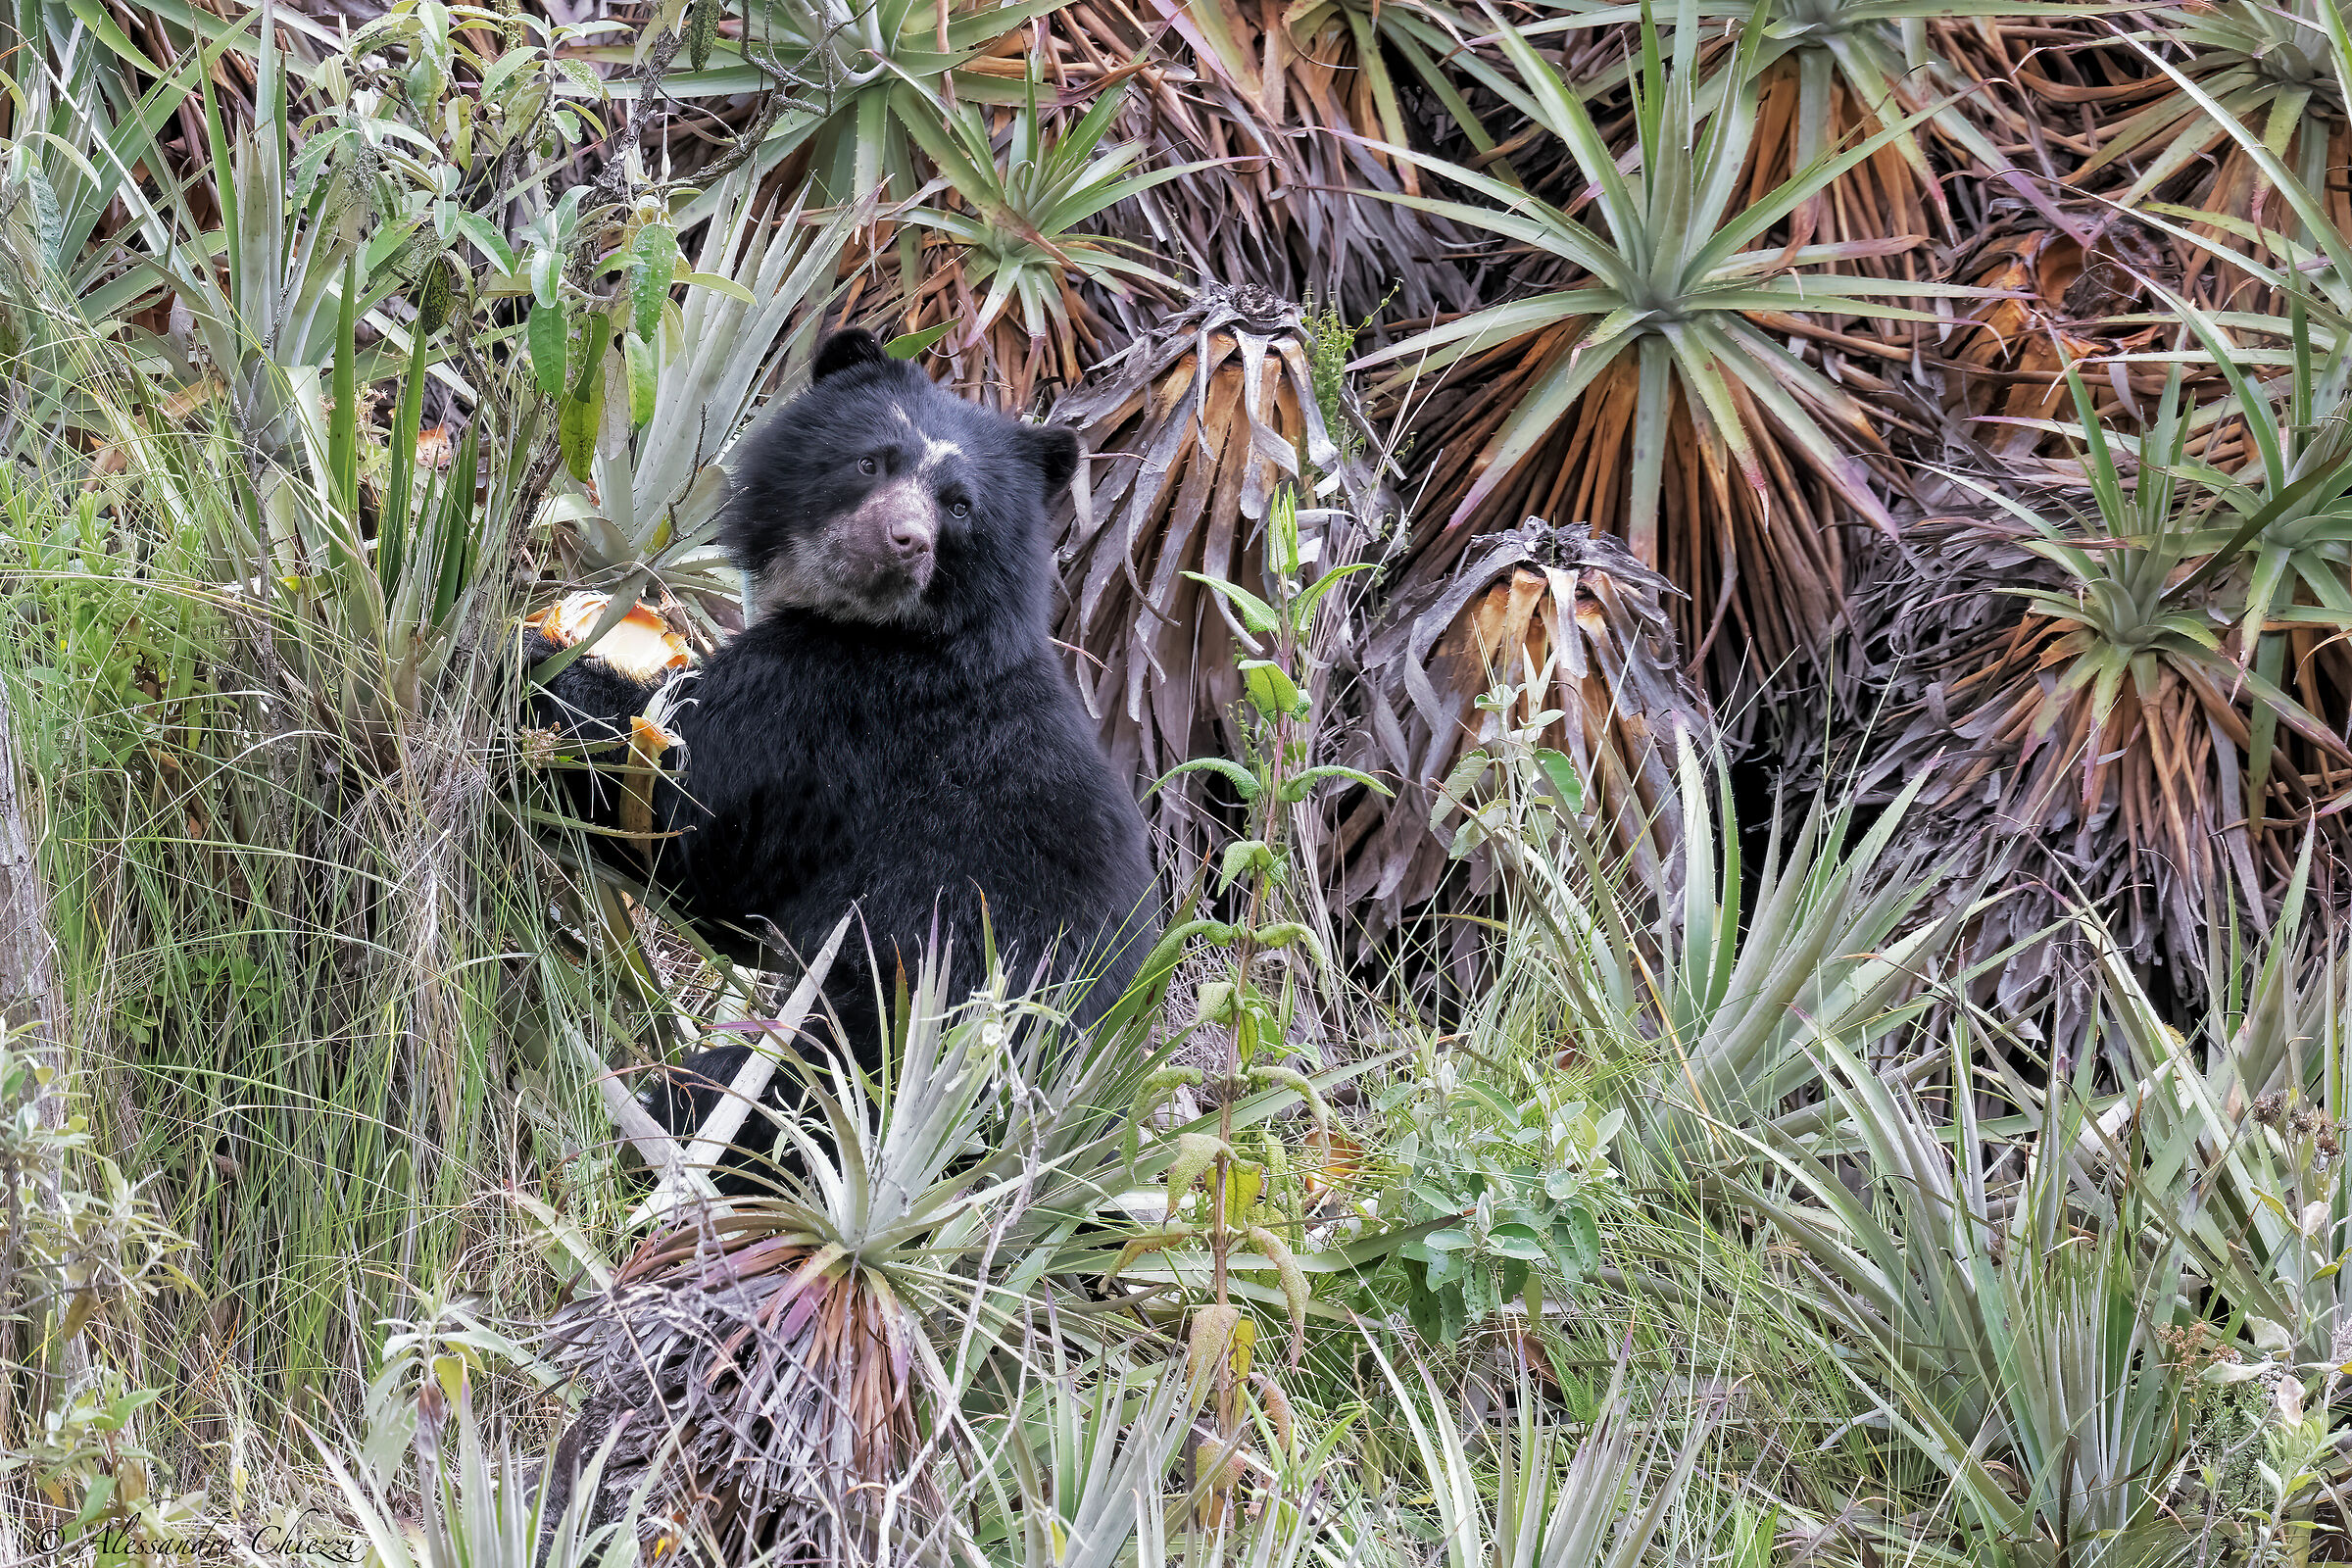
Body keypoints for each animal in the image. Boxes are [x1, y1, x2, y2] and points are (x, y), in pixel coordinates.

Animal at [526, 327, 1159, 1182]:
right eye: (871, 462)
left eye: (959, 506)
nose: (905, 541)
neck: (886, 628)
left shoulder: (822, 715)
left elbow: (685, 819)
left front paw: (533, 664)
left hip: (883, 1041)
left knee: (751, 1098)